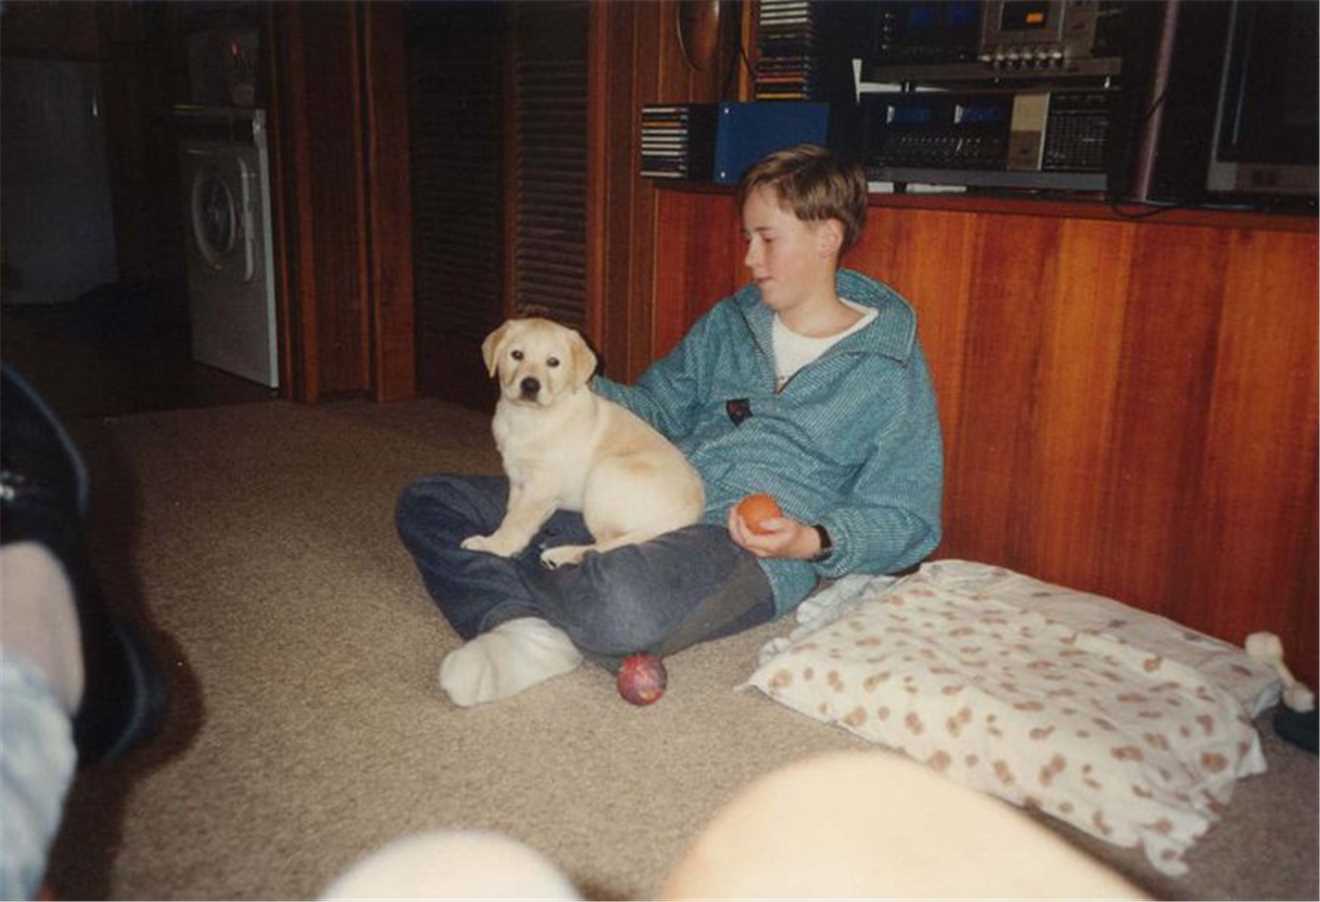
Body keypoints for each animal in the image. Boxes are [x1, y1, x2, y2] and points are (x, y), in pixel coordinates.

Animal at [461, 317, 705, 569]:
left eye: (553, 362)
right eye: (516, 355)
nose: (530, 385)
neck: (530, 417)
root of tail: (692, 509)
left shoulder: (540, 486)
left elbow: (516, 522)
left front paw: (494, 545)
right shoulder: (519, 481)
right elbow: (513, 513)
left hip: (605, 474)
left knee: (607, 546)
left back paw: (562, 555)